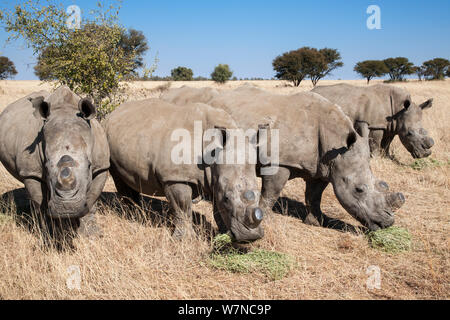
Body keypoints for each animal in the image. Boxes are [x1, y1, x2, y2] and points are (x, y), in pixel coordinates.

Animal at [0, 87, 110, 238]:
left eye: (89, 165)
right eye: (45, 167)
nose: (67, 208)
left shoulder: (102, 167)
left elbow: (92, 199)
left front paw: (91, 234)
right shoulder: (31, 172)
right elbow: (40, 202)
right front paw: (51, 235)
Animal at [103, 99, 266, 241]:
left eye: (259, 194)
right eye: (227, 198)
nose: (250, 237)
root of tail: (113, 113)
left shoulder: (215, 178)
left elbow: (217, 209)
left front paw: (223, 235)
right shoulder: (175, 178)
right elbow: (182, 207)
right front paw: (184, 240)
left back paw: (139, 214)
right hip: (106, 137)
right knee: (119, 179)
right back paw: (132, 217)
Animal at [161, 85, 404, 230]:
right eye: (359, 190)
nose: (387, 222)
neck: (335, 142)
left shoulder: (322, 166)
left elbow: (314, 195)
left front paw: (315, 222)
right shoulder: (280, 161)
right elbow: (272, 193)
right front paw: (263, 219)